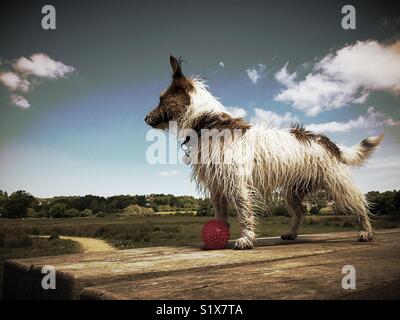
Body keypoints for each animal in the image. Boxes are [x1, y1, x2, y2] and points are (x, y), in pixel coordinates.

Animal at [145, 56, 382, 249]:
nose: (145, 119)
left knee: (359, 204)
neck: (208, 124)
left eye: (161, 99)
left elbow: (243, 213)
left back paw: (366, 231)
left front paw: (246, 239)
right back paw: (291, 233)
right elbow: (221, 216)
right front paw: (220, 237)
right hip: (292, 192)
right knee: (300, 212)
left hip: (337, 184)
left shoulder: (237, 184)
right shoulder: (217, 186)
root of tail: (327, 142)